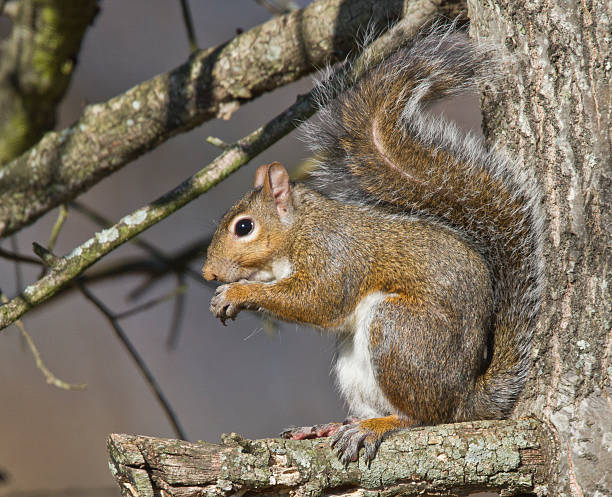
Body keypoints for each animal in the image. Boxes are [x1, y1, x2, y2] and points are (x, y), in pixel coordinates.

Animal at [202, 29, 544, 464]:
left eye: (244, 227)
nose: (208, 272)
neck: (301, 229)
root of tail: (466, 396)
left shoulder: (336, 256)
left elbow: (315, 301)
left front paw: (238, 293)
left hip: (399, 332)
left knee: (424, 416)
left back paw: (379, 425)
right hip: (354, 365)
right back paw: (334, 426)